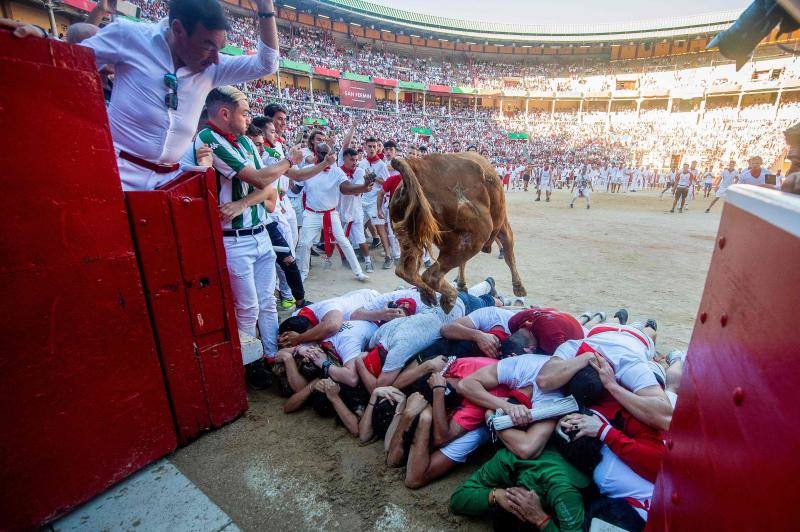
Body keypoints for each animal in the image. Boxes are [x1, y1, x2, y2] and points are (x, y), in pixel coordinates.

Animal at [388, 151, 524, 312]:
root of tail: (418, 166)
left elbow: (463, 264)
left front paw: (462, 284)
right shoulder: (502, 225)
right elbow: (509, 251)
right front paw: (519, 288)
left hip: (409, 236)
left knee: (405, 271)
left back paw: (429, 295)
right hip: (477, 237)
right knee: (431, 276)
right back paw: (449, 297)